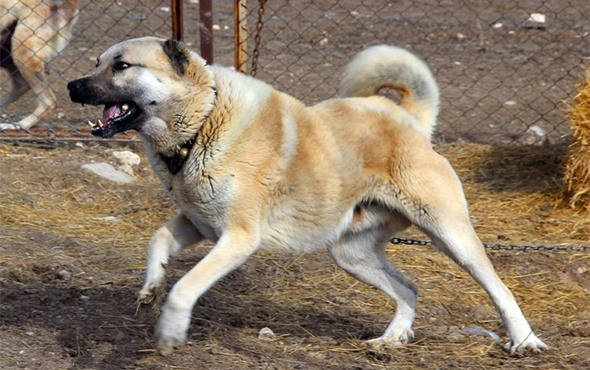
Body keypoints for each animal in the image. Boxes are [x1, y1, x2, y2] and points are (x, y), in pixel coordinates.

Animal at [67, 36, 548, 356]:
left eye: (121, 66)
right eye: (97, 62)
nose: (73, 85)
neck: (203, 124)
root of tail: (411, 120)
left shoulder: (238, 238)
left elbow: (187, 287)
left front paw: (169, 330)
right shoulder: (196, 224)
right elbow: (158, 240)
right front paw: (150, 288)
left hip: (451, 234)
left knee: (499, 288)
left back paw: (525, 341)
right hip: (351, 254)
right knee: (409, 289)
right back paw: (391, 339)